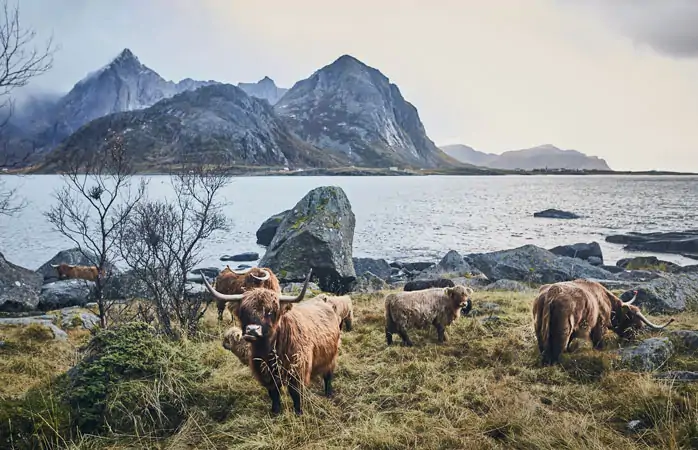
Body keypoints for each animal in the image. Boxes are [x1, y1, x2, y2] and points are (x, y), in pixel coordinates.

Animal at [200, 268, 342, 416]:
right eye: (244, 311)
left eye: (269, 312)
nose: (252, 330)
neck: (269, 349)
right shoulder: (265, 372)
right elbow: (273, 393)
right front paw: (275, 411)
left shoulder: (297, 370)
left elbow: (296, 394)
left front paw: (298, 412)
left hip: (331, 356)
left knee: (328, 375)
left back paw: (328, 393)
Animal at [532, 278, 672, 366]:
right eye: (636, 325)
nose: (632, 339)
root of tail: (552, 294)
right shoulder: (600, 325)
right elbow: (598, 341)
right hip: (563, 327)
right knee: (558, 346)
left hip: (538, 325)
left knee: (544, 346)